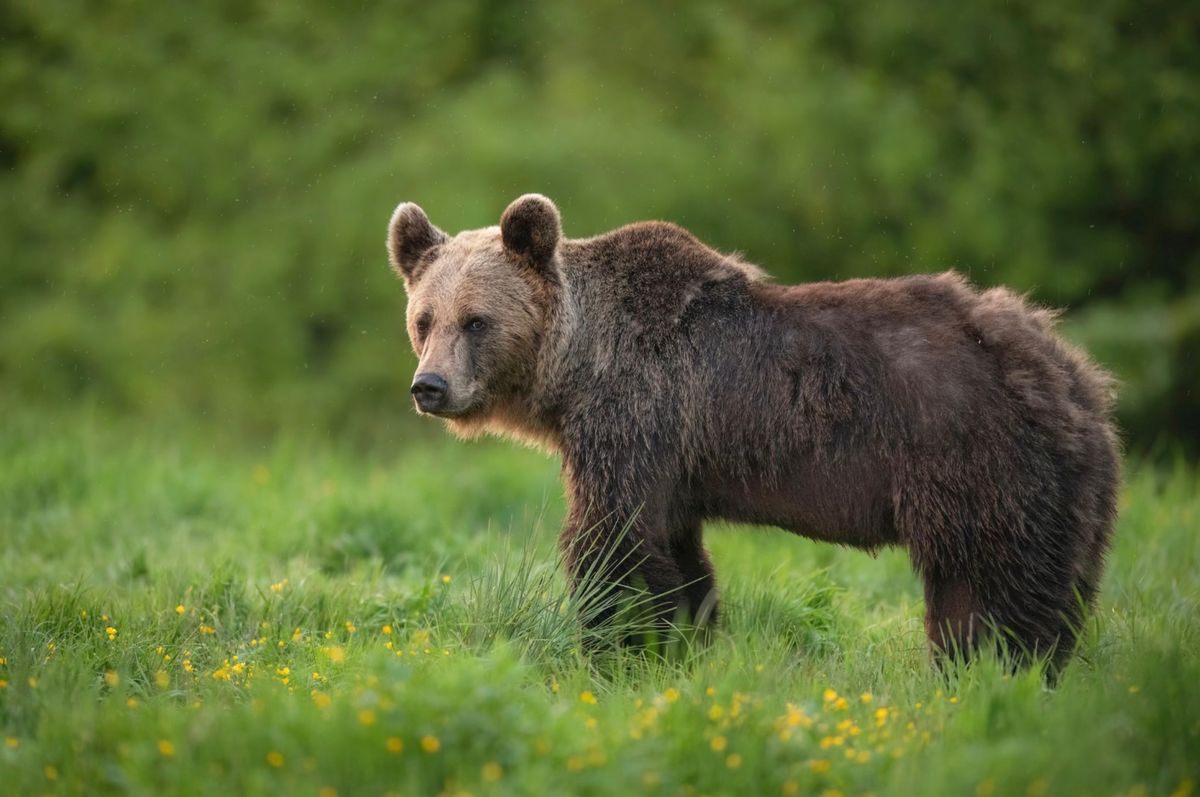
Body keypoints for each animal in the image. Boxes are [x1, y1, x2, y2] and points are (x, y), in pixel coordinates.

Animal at [388, 194, 1118, 672]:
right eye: (424, 318)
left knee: (982, 582)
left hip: (968, 456)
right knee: (1058, 579)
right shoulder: (673, 457)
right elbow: (676, 556)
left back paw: (985, 667)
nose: (430, 386)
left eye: (476, 320)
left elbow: (615, 542)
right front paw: (684, 642)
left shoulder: (636, 413)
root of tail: (1067, 369)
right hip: (1068, 484)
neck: (573, 367)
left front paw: (618, 650)